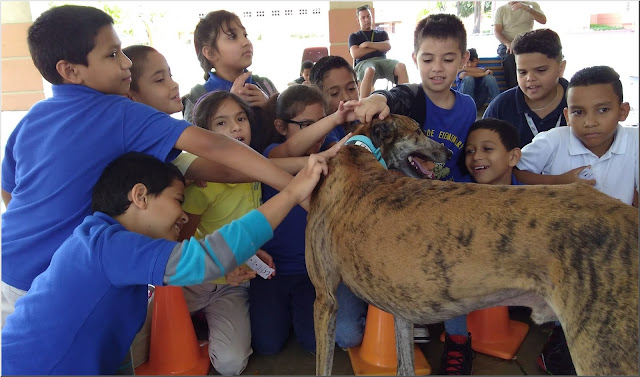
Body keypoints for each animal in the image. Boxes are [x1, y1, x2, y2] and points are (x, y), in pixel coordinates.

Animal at [306, 114, 640, 374]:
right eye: (418, 131)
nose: (448, 153)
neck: (358, 155)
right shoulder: (398, 306)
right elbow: (404, 364)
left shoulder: (325, 300)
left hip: (602, 351)